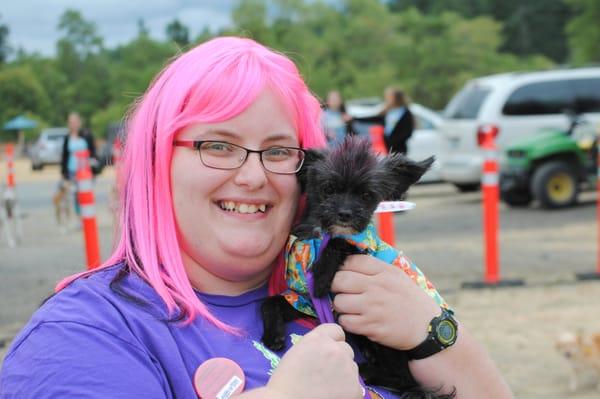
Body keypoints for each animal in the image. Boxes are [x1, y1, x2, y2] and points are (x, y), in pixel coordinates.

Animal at [260, 138, 452, 399]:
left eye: (366, 195)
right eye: (328, 189)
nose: (345, 214)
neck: (320, 236)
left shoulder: (360, 249)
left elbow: (340, 243)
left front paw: (321, 275)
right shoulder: (304, 301)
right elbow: (270, 302)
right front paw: (273, 335)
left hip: (387, 336)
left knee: (404, 377)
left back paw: (366, 370)